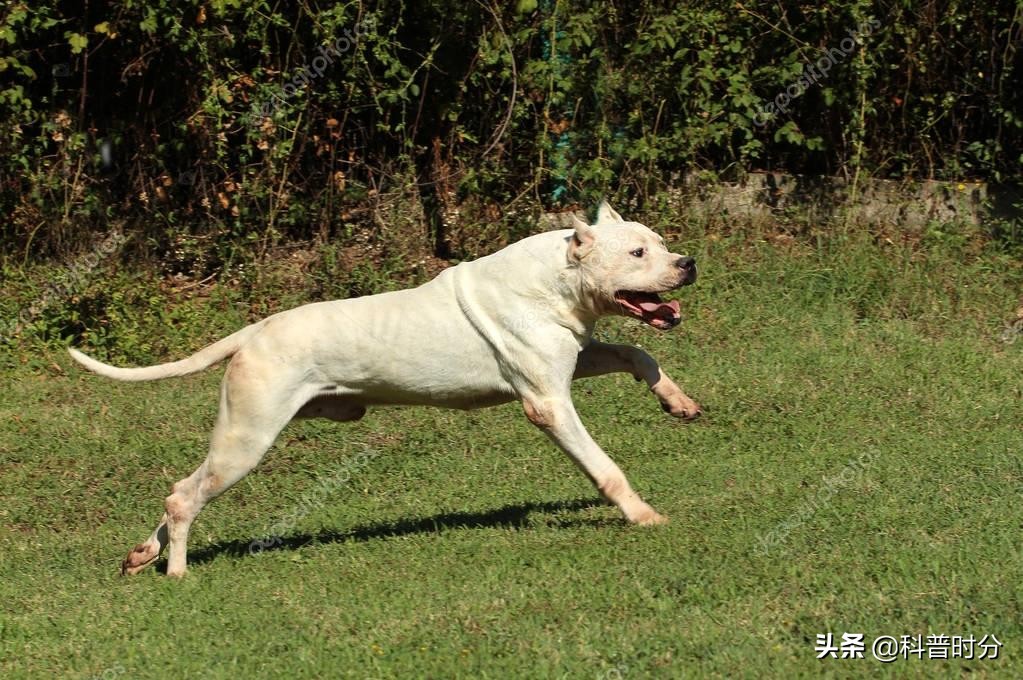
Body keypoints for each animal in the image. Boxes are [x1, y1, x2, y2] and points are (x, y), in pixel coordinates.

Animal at [68, 201, 699, 572]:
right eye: (637, 252)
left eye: (660, 241)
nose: (687, 263)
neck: (557, 280)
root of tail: (255, 330)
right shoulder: (547, 402)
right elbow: (604, 467)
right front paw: (643, 516)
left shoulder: (575, 355)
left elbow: (636, 351)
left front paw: (677, 401)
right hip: (247, 439)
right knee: (184, 496)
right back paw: (176, 570)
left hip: (241, 437)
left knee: (182, 489)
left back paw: (143, 554)